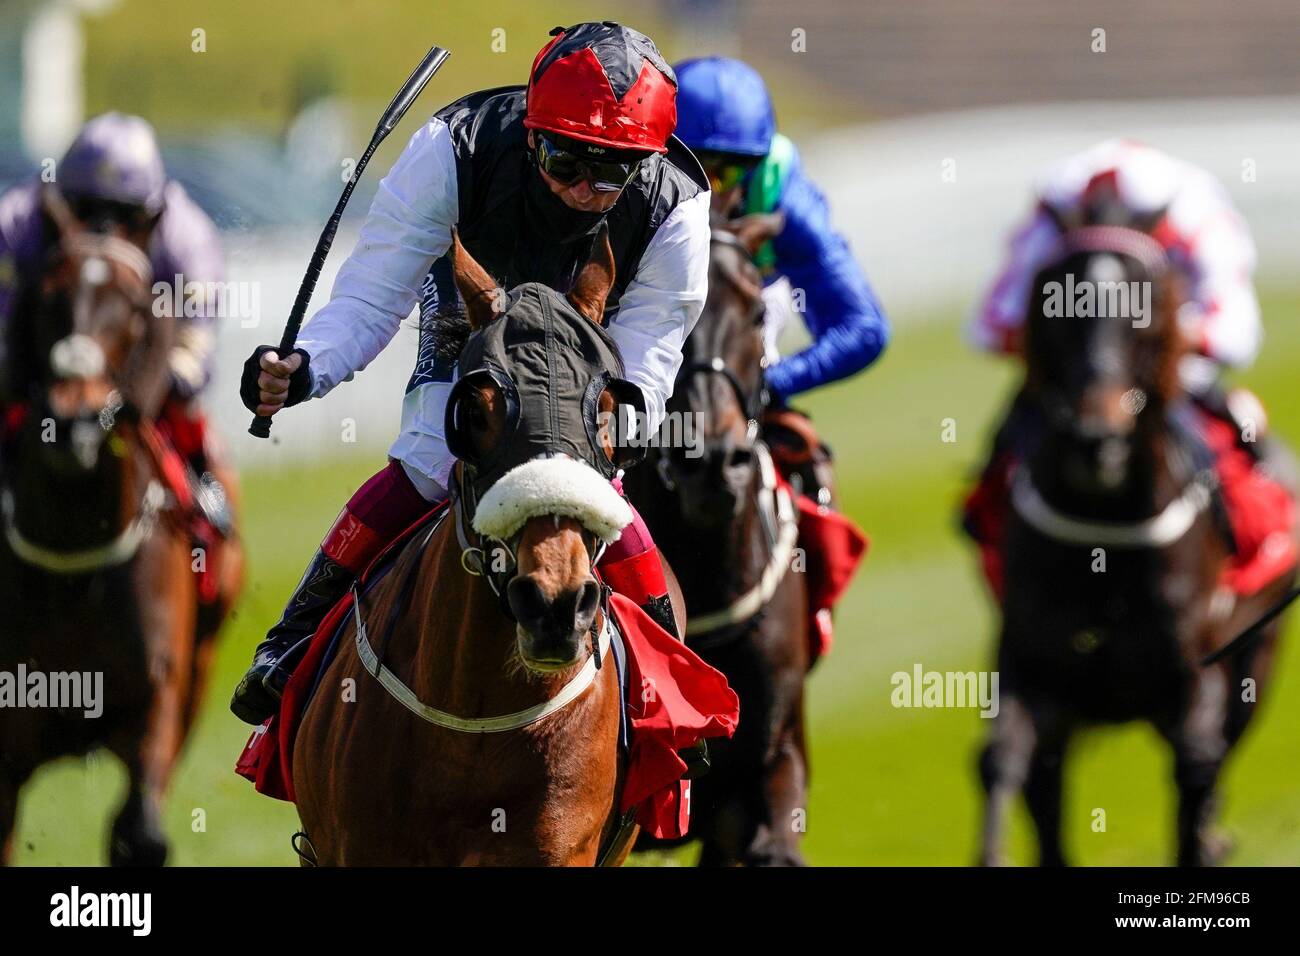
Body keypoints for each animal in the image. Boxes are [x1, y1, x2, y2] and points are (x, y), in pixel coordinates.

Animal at [0, 188, 241, 868]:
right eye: (46, 294)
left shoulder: (154, 699)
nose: (72, 422)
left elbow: (140, 834)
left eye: (135, 306)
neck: (74, 550)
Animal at [977, 223, 1294, 868]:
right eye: (1055, 310)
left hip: (1259, 655)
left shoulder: (1194, 676)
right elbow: (1004, 761)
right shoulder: (1029, 666)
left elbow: (1197, 768)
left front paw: (1205, 839)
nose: (1096, 439)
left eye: (1142, 319)